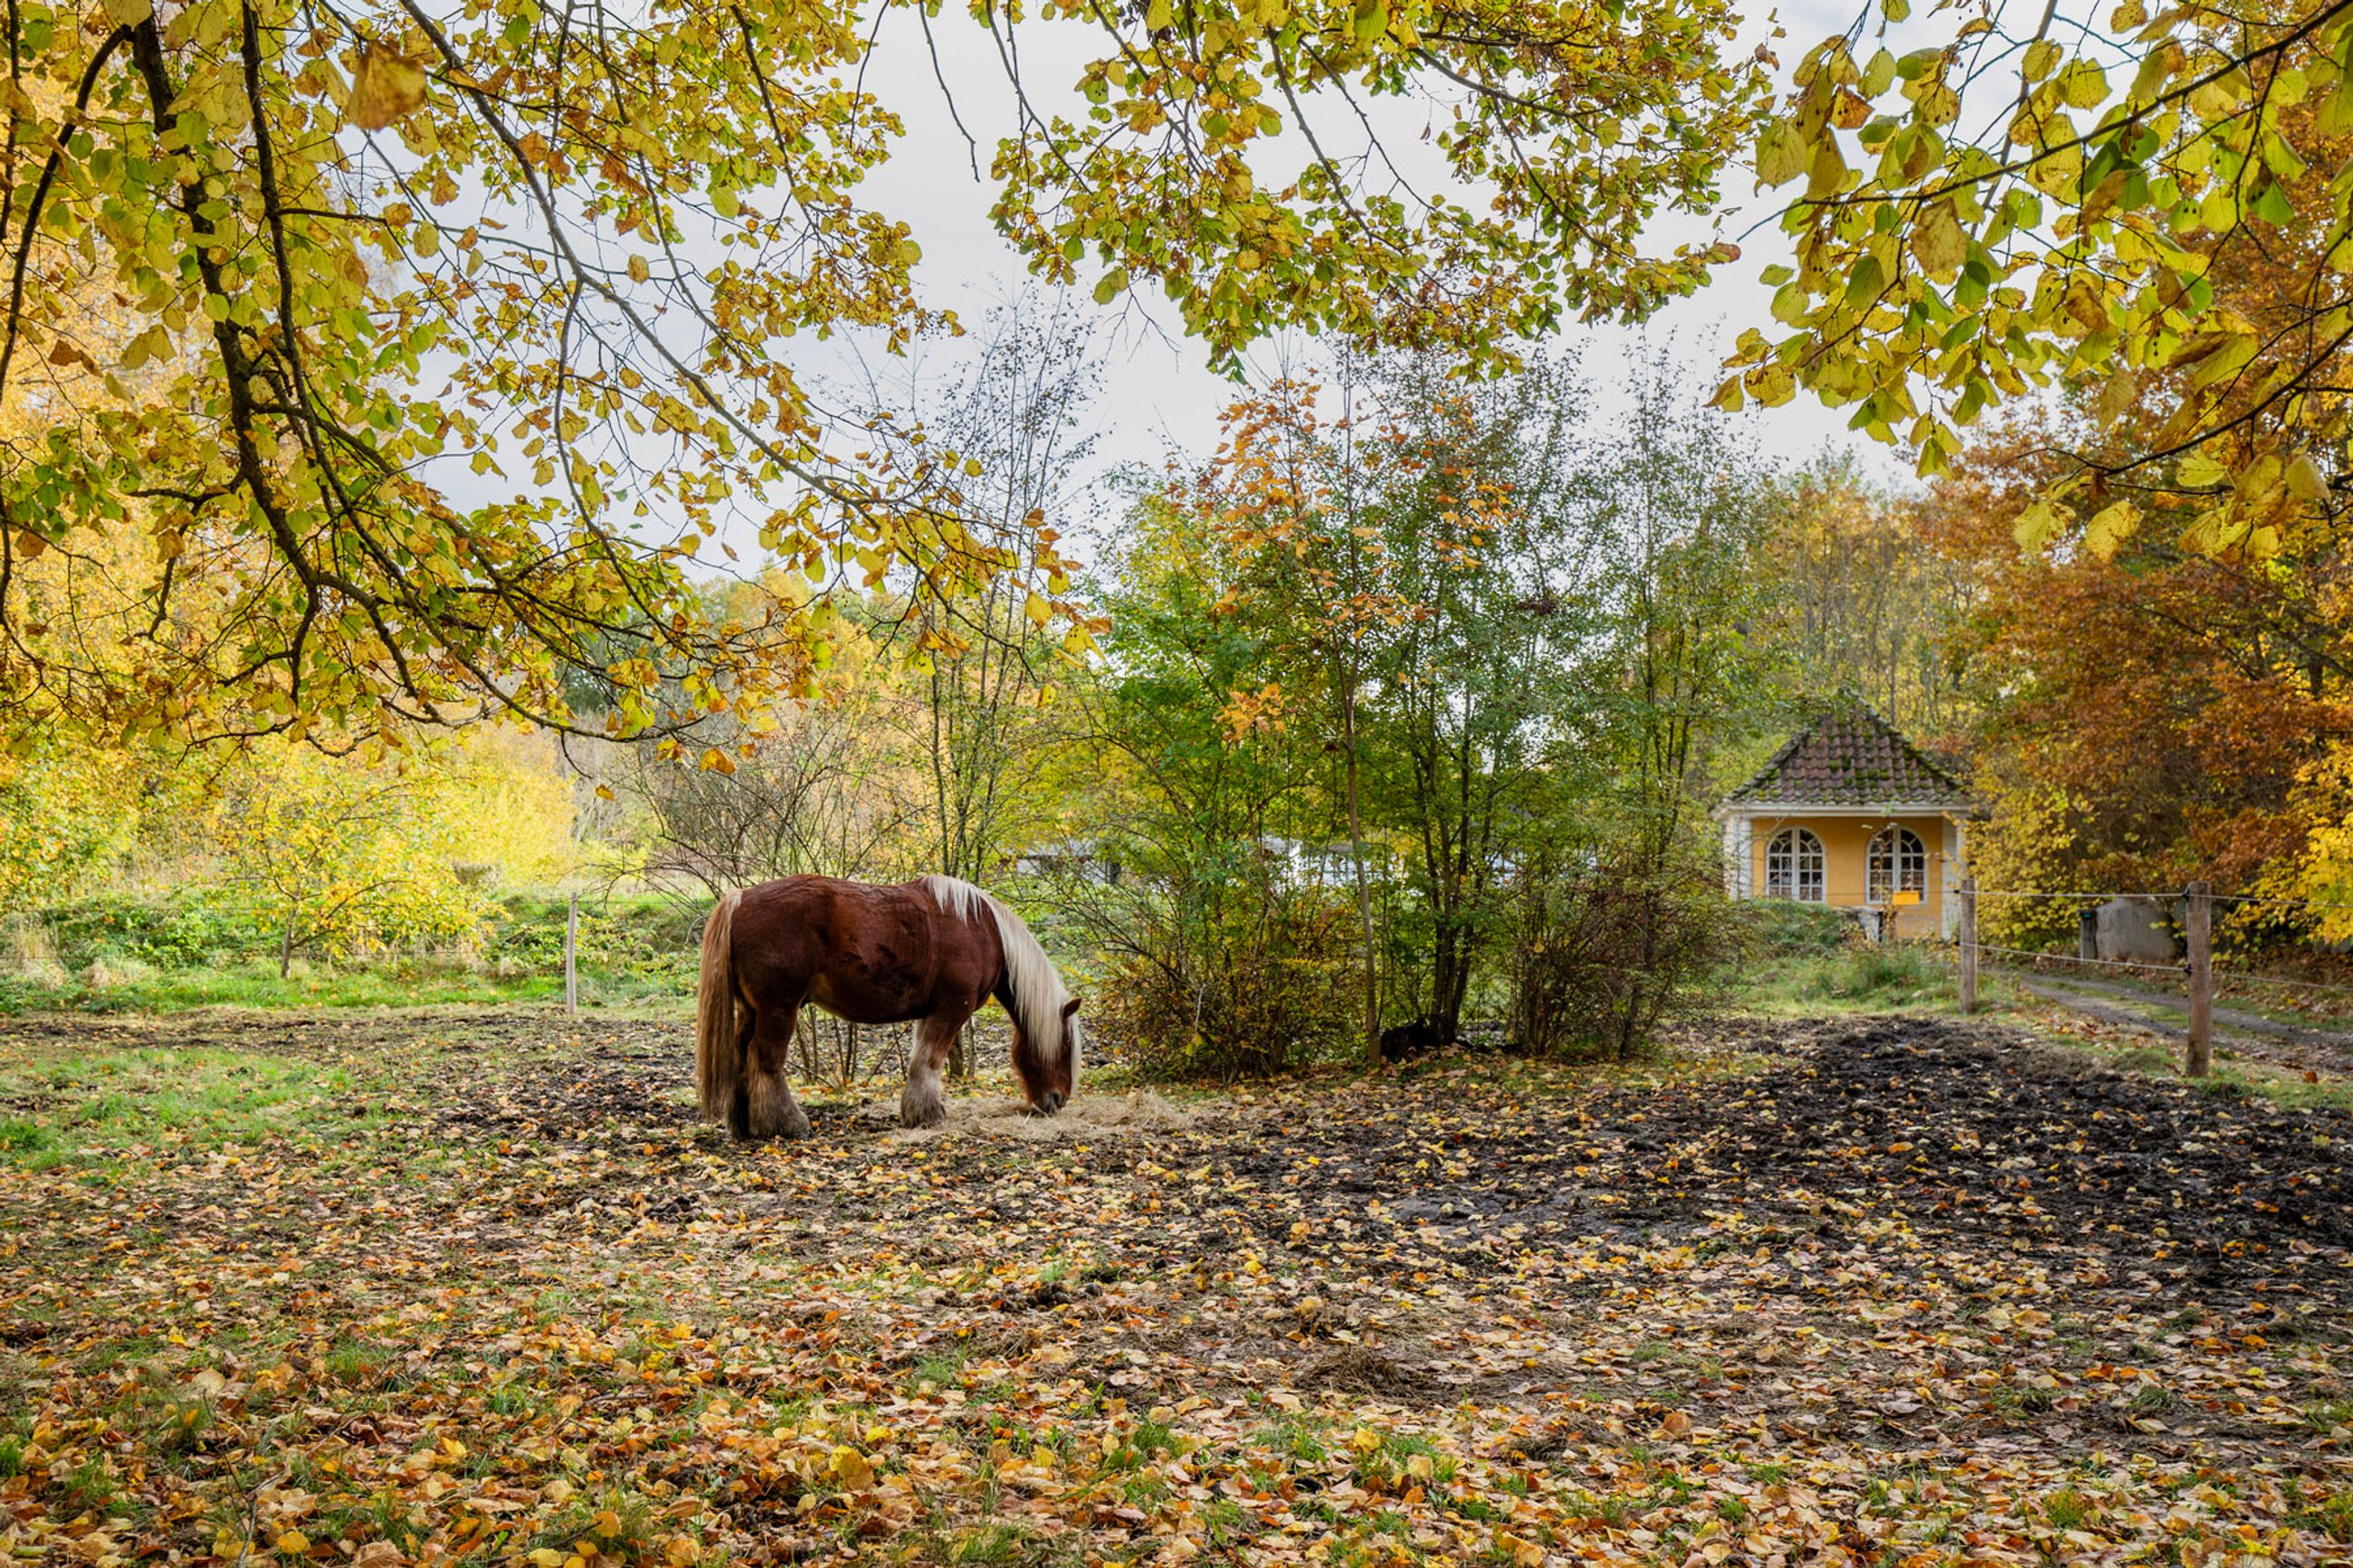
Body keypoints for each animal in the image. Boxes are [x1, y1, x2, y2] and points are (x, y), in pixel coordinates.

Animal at [694, 873, 1083, 1139]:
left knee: (743, 1054)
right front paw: (927, 1114)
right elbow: (929, 1060)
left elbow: (919, 1060)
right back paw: (787, 1123)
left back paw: (744, 1123)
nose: (1057, 1100)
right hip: (779, 1008)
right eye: (1066, 1045)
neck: (984, 929)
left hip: (752, 1010)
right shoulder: (951, 1009)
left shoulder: (931, 1012)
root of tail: (741, 899)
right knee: (765, 1059)